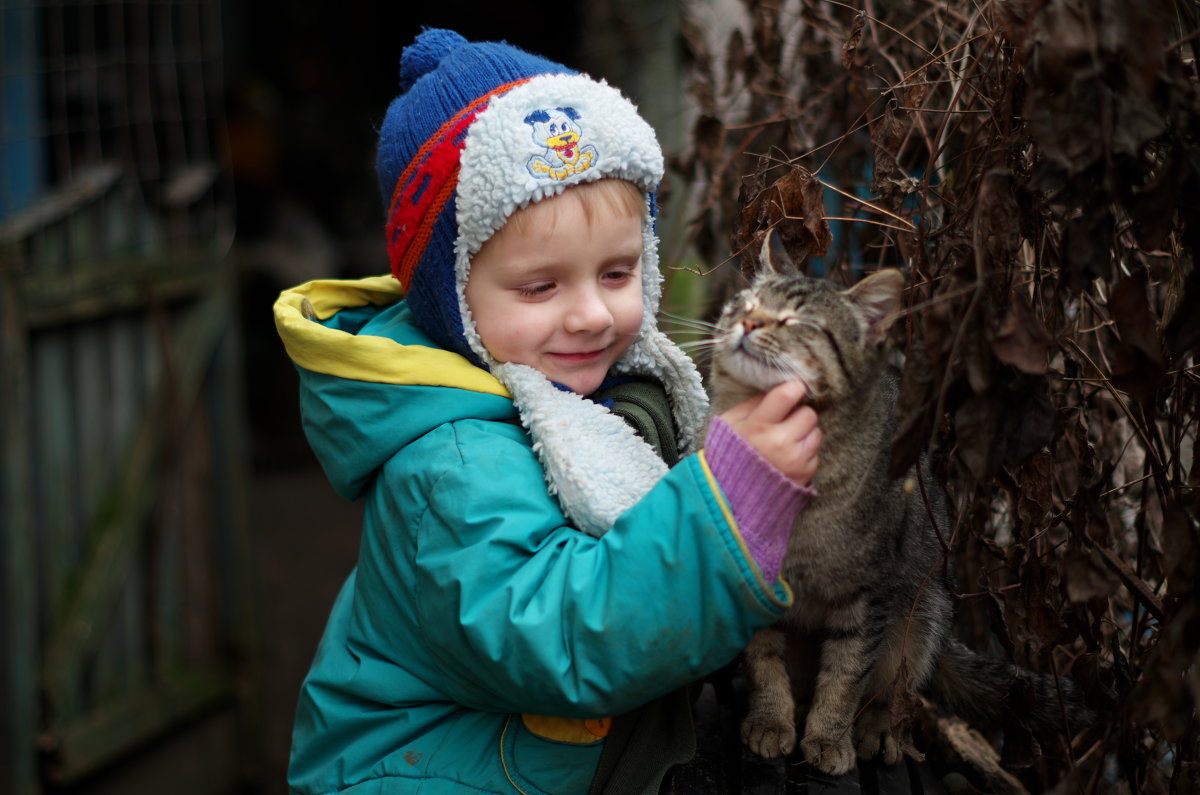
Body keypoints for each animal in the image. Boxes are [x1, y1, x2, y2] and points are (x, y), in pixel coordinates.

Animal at [705, 231, 1099, 778]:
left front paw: (829, 738)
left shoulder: (869, 594)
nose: (747, 322)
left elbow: (846, 676)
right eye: (745, 305)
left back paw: (876, 732)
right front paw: (770, 720)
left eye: (796, 322)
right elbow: (764, 663)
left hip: (921, 613)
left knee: (896, 694)